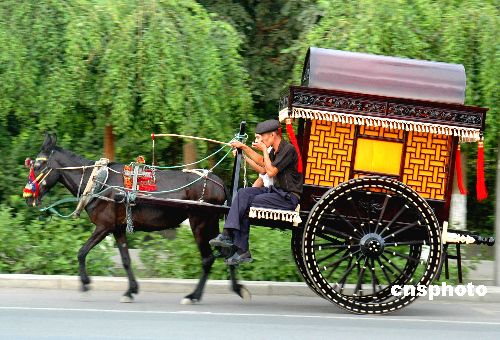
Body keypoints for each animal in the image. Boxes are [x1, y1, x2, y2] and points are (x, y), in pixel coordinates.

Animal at [25, 133, 248, 302]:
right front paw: (131, 290)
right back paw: (237, 288)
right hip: (212, 223)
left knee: (208, 258)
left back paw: (194, 296)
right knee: (226, 252)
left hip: (200, 222)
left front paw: (86, 283)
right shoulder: (117, 228)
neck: (98, 182)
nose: (27, 196)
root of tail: (219, 182)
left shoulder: (104, 226)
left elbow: (81, 252)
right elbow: (125, 260)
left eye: (37, 165)